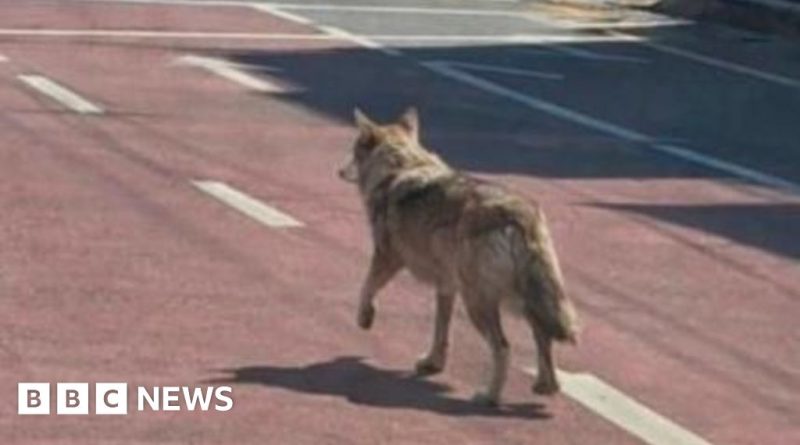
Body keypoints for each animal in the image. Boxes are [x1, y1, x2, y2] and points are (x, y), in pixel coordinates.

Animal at [338, 107, 579, 405]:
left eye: (353, 150)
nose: (338, 171)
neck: (400, 167)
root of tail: (519, 215)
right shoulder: (445, 286)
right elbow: (441, 331)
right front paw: (433, 363)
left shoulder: (387, 258)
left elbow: (366, 288)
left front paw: (365, 318)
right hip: (519, 299)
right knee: (542, 335)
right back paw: (546, 386)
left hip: (478, 302)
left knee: (503, 347)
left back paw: (489, 396)